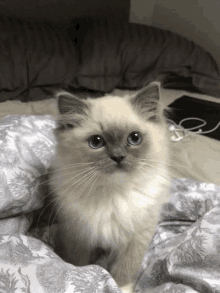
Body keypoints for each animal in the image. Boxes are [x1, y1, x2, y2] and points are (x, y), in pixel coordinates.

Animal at [51, 82, 170, 292]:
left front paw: (121, 288)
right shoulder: (78, 235)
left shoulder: (136, 238)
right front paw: (83, 276)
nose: (118, 157)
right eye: (96, 142)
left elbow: (125, 271)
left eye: (135, 138)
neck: (114, 194)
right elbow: (79, 265)